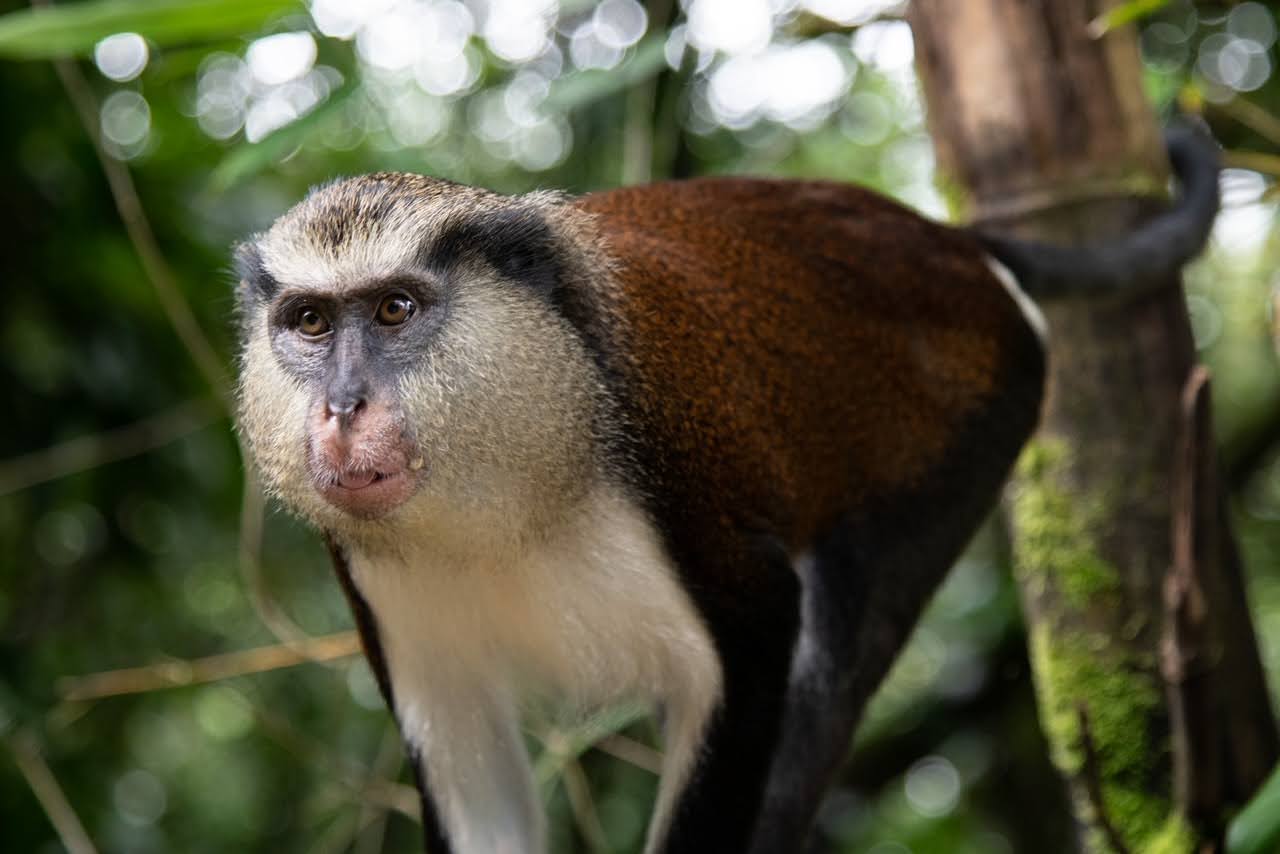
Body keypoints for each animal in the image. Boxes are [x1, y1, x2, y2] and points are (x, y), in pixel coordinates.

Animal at [232, 126, 1219, 854]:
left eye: (395, 309)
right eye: (310, 322)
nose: (341, 408)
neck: (508, 489)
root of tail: (948, 244)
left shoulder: (692, 515)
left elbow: (758, 647)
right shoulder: (385, 603)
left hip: (973, 424)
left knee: (825, 673)